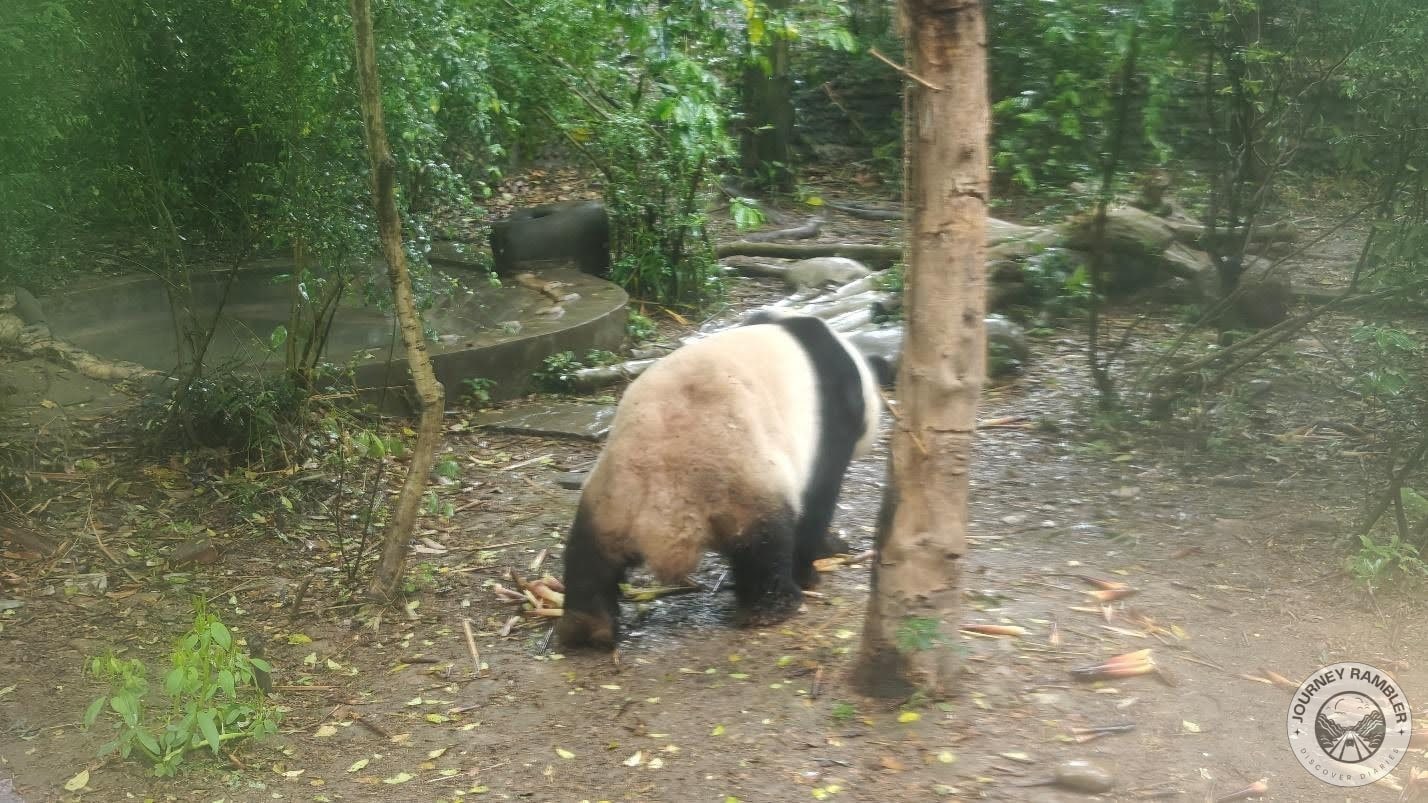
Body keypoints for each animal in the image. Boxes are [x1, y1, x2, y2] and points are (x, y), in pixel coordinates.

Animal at [556, 312, 889, 649]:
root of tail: (667, 507)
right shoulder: (831, 417)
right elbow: (817, 500)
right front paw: (825, 554)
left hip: (613, 494)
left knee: (589, 555)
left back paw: (586, 626)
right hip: (743, 481)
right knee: (765, 546)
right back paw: (772, 607)